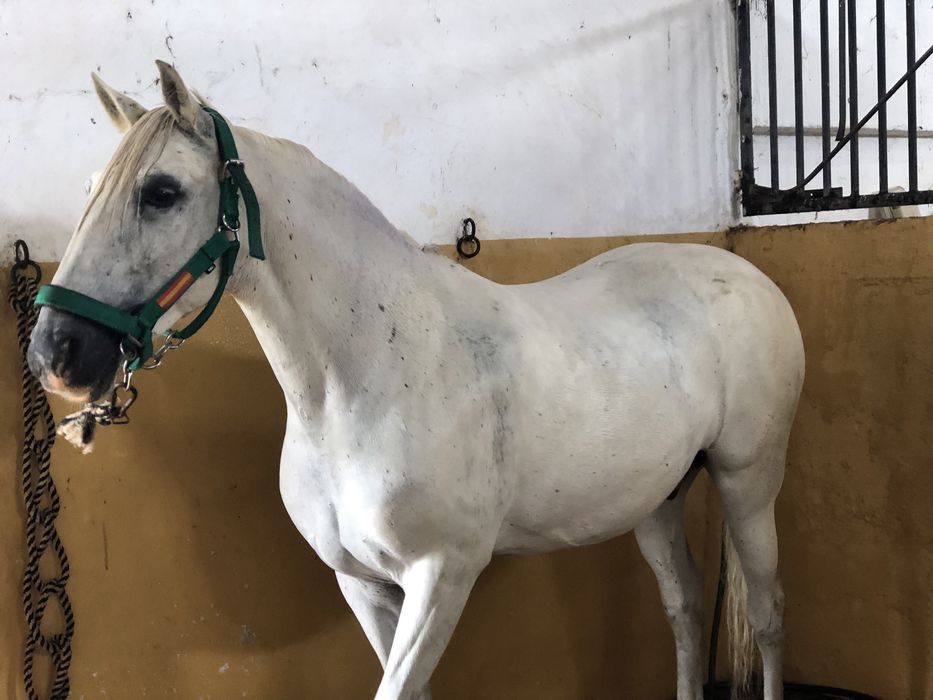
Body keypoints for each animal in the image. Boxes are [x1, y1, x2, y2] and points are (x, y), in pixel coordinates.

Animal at [27, 62, 804, 700]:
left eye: (161, 193)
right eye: (92, 190)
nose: (54, 352)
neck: (364, 379)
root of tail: (745, 273)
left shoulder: (441, 577)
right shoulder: (363, 585)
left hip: (747, 482)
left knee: (769, 616)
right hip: (656, 500)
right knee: (685, 607)